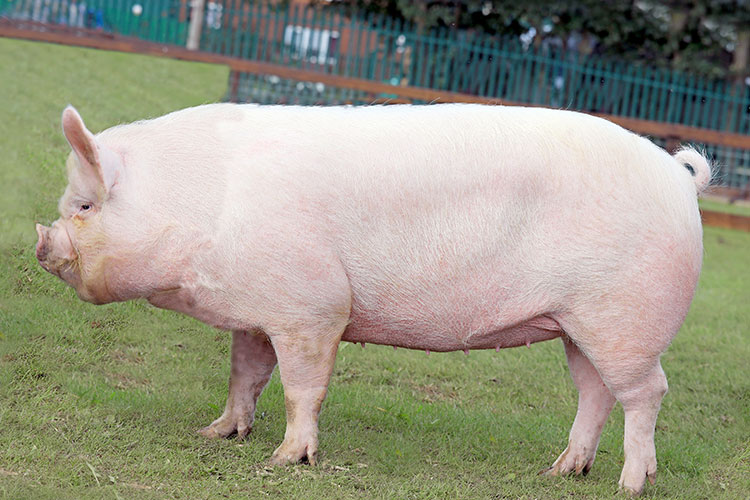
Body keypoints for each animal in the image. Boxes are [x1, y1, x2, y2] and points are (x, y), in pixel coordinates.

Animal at [36, 103, 710, 495]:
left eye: (86, 206)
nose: (42, 242)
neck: (201, 205)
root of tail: (680, 180)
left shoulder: (311, 307)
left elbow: (300, 388)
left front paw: (284, 460)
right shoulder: (255, 313)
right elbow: (244, 376)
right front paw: (217, 433)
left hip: (626, 319)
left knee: (647, 393)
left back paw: (629, 485)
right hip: (578, 325)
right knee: (595, 393)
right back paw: (561, 471)